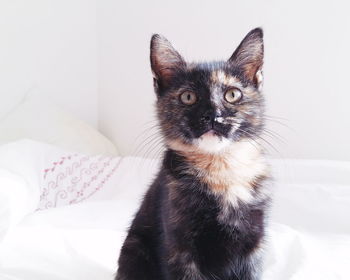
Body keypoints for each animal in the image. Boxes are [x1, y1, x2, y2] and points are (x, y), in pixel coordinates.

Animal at [115, 27, 270, 280]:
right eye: (188, 97)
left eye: (233, 94)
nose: (213, 114)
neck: (221, 168)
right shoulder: (180, 247)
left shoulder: (253, 244)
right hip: (134, 247)